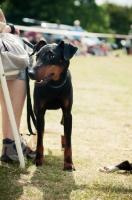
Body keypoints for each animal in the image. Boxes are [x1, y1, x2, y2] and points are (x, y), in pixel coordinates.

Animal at [28, 40, 77, 170]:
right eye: (37, 56)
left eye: (51, 56)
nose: (30, 73)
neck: (54, 85)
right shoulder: (39, 114)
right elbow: (40, 140)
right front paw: (38, 160)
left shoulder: (68, 113)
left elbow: (69, 140)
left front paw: (68, 163)